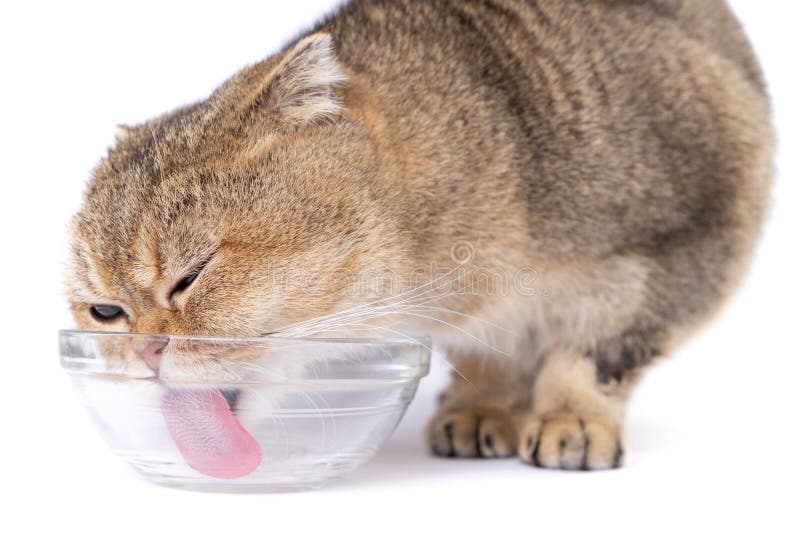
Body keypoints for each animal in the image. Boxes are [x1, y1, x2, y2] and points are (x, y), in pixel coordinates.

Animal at [65, 0, 772, 472]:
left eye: (192, 274)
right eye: (106, 312)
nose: (144, 352)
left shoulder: (701, 228)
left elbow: (596, 348)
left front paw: (572, 411)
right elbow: (492, 351)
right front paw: (488, 400)